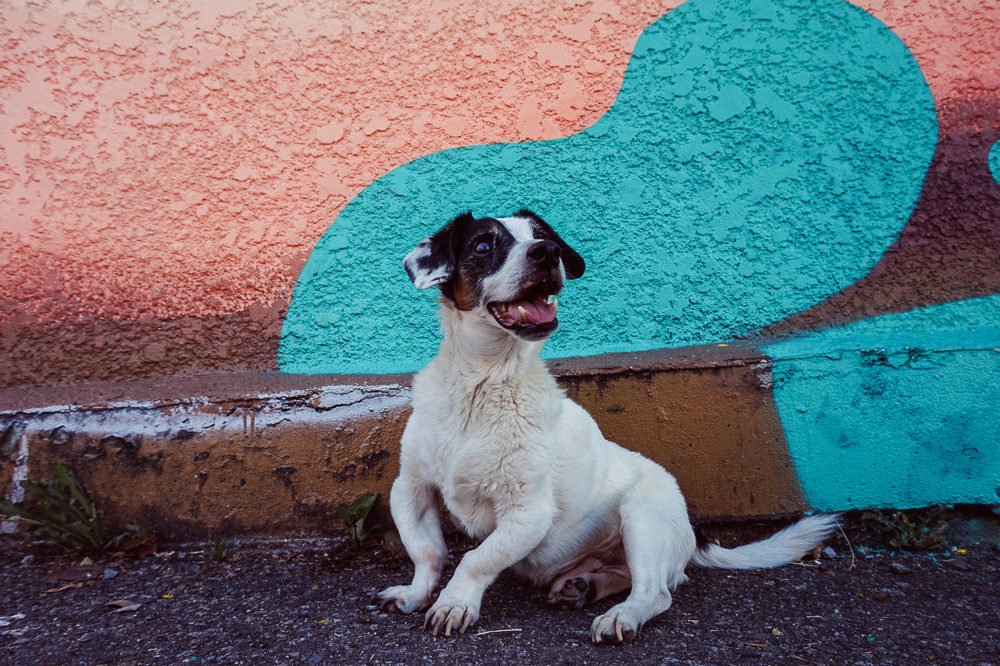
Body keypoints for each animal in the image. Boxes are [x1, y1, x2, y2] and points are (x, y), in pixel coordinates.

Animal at [376, 210, 836, 640]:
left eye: (541, 238)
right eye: (483, 246)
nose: (547, 253)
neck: (483, 385)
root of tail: (692, 532)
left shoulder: (528, 511)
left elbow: (475, 559)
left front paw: (454, 603)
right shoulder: (411, 488)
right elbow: (427, 552)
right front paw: (417, 594)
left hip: (643, 516)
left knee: (655, 591)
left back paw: (621, 616)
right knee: (625, 576)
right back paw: (583, 586)